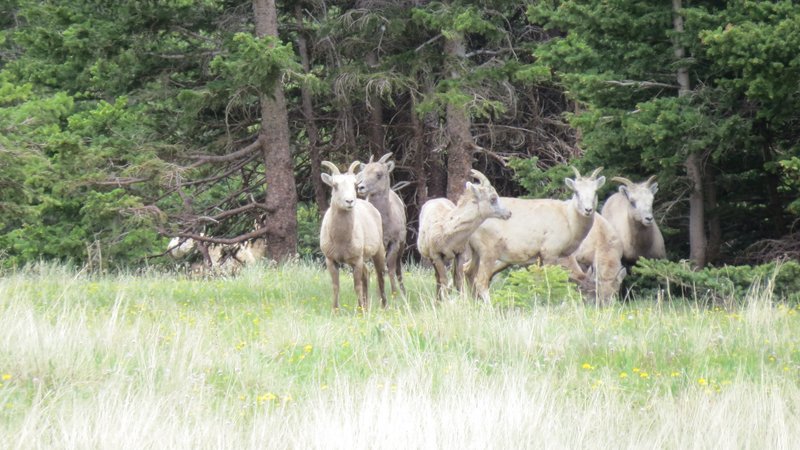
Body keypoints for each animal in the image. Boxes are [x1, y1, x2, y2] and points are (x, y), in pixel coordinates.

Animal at [318, 160, 388, 312]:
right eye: (335, 185)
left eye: (355, 184)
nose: (349, 201)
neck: (340, 239)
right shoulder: (331, 260)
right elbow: (335, 287)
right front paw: (335, 311)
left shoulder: (357, 260)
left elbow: (357, 286)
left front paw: (360, 311)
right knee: (367, 274)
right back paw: (367, 306)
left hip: (378, 252)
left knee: (380, 277)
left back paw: (384, 307)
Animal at [356, 153, 406, 298]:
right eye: (363, 172)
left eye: (379, 174)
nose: (360, 187)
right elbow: (379, 269)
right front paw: (379, 295)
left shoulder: (394, 242)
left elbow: (390, 267)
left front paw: (394, 294)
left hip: (402, 246)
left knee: (398, 268)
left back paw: (403, 292)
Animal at [416, 169, 510, 298]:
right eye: (493, 198)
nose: (509, 213)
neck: (446, 233)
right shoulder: (436, 256)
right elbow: (444, 280)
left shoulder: (459, 254)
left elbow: (459, 280)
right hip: (432, 259)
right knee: (438, 279)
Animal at [462, 168, 608, 302]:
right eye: (576, 192)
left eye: (595, 191)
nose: (588, 210)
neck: (568, 219)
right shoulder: (550, 251)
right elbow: (549, 280)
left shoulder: (539, 257)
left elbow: (538, 281)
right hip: (488, 251)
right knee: (480, 280)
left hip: (476, 251)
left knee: (467, 270)